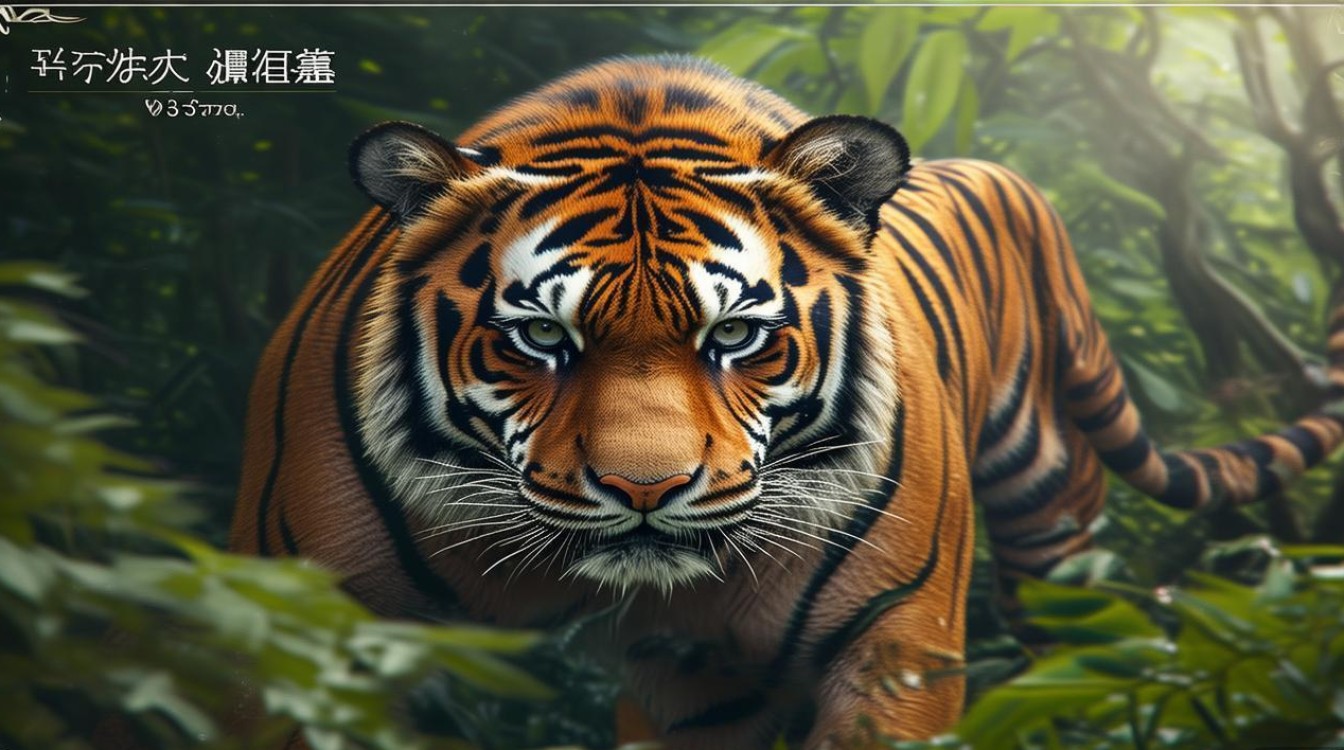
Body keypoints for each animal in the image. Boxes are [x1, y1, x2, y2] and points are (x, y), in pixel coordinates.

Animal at [229, 55, 1344, 749]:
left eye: (735, 337)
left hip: (1053, 529)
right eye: (542, 337)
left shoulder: (895, 650)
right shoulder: (294, 628)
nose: (645, 490)